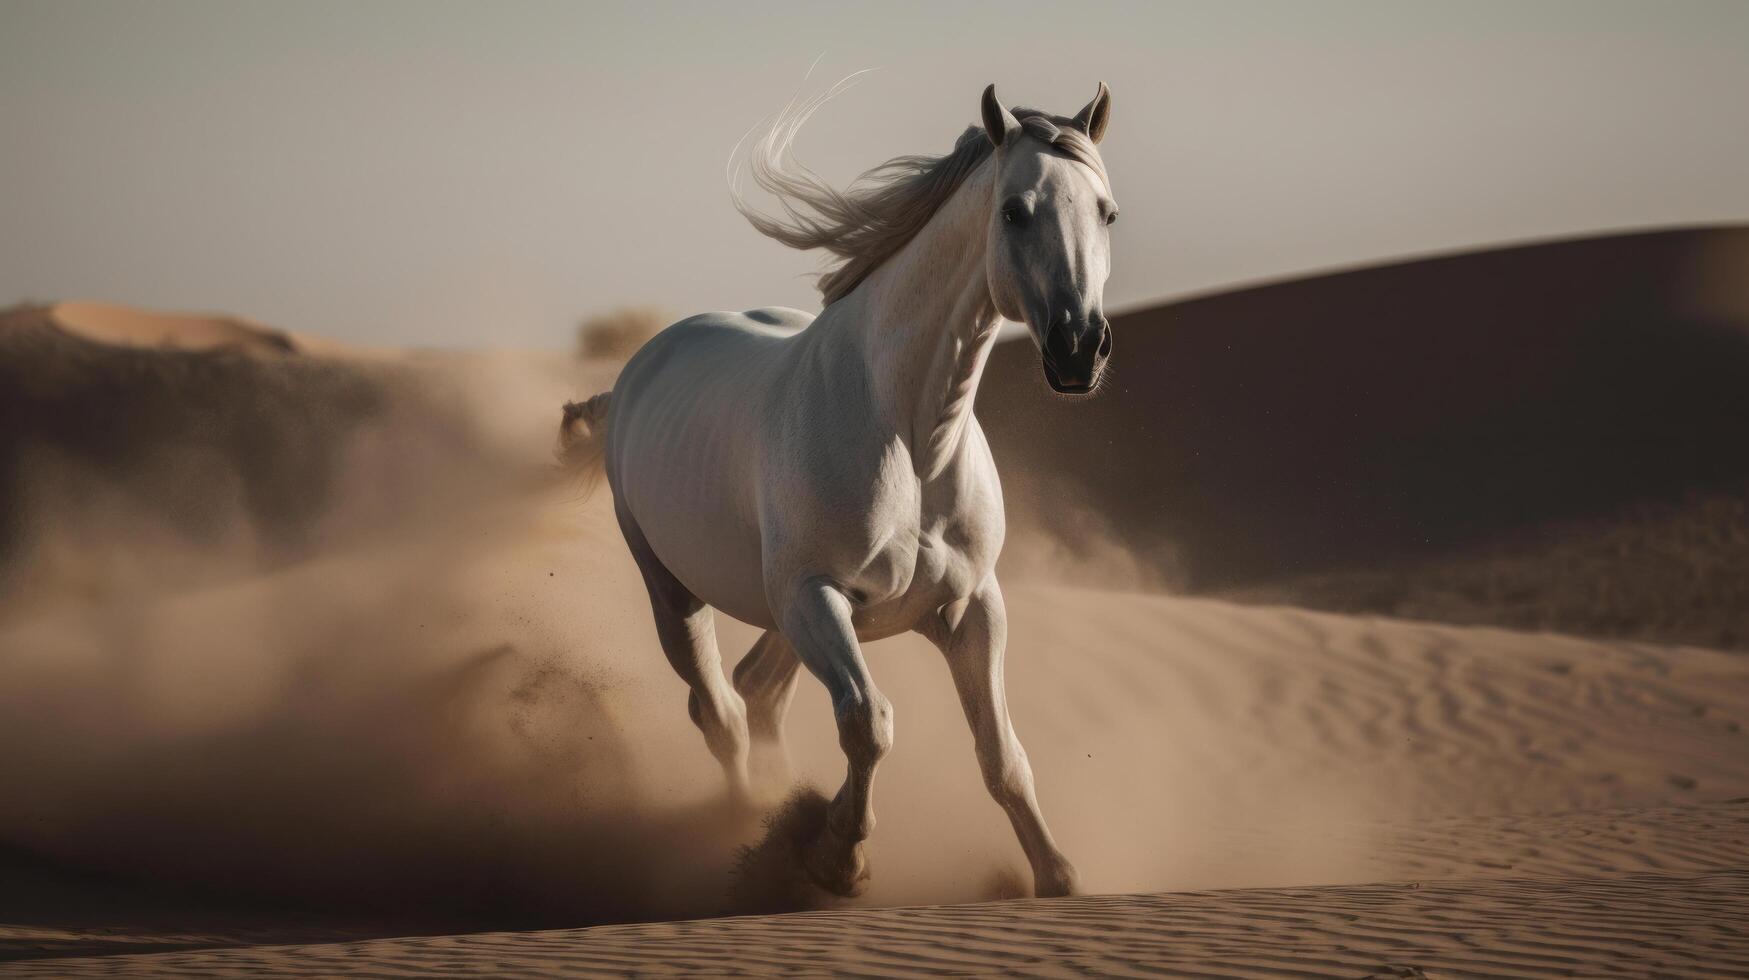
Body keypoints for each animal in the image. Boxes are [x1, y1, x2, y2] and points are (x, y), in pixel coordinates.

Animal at [566, 80, 1126, 903]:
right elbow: (869, 722)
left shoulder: (970, 607)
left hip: (790, 615)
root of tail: (642, 363)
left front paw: (1056, 875)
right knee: (722, 712)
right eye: (1014, 210)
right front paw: (837, 857)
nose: (1078, 350)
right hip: (681, 594)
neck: (911, 442)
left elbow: (1001, 755)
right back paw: (744, 829)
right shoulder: (816, 596)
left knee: (756, 692)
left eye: (1106, 211)